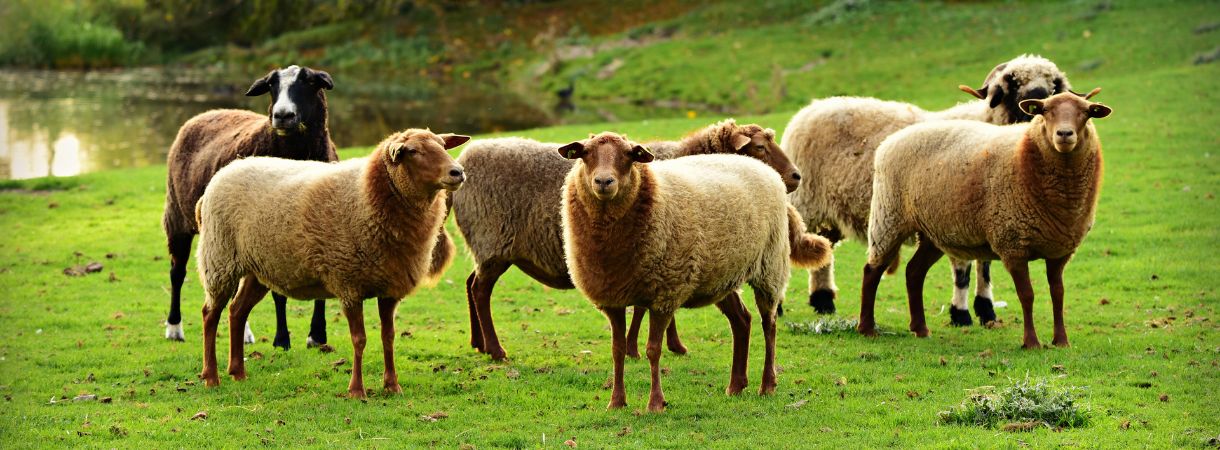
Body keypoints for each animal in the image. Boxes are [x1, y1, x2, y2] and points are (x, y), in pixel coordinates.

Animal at [162, 64, 336, 348]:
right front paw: (281, 339)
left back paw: (243, 333)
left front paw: (317, 335)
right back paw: (174, 328)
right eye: (272, 86)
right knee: (177, 274)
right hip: (178, 217)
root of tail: (206, 113)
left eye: (309, 82)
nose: (282, 115)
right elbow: (278, 293)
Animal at [197, 126, 468, 395]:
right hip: (219, 259)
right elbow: (359, 339)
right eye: (412, 151)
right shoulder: (349, 283)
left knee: (237, 311)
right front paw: (357, 390)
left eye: (443, 146)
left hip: (258, 268)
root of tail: (226, 171)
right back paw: (211, 377)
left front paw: (392, 385)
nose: (457, 172)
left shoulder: (390, 287)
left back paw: (238, 372)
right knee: (210, 314)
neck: (367, 194)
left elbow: (388, 336)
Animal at [558, 131, 829, 412]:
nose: (603, 181)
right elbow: (617, 349)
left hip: (770, 266)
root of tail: (763, 168)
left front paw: (655, 403)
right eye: (585, 154)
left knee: (769, 325)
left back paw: (767, 385)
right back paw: (736, 385)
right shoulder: (612, 298)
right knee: (742, 321)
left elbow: (653, 349)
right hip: (723, 276)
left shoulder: (665, 294)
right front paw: (616, 402)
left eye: (629, 155)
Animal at [858, 88, 1117, 346]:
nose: (1064, 134)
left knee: (914, 272)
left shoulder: (1059, 251)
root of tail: (891, 140)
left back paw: (920, 329)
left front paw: (1061, 341)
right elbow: (1027, 295)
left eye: (1086, 112)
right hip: (888, 218)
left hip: (933, 231)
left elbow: (1058, 294)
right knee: (872, 271)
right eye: (1045, 111)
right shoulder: (1013, 245)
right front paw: (1031, 342)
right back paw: (867, 328)